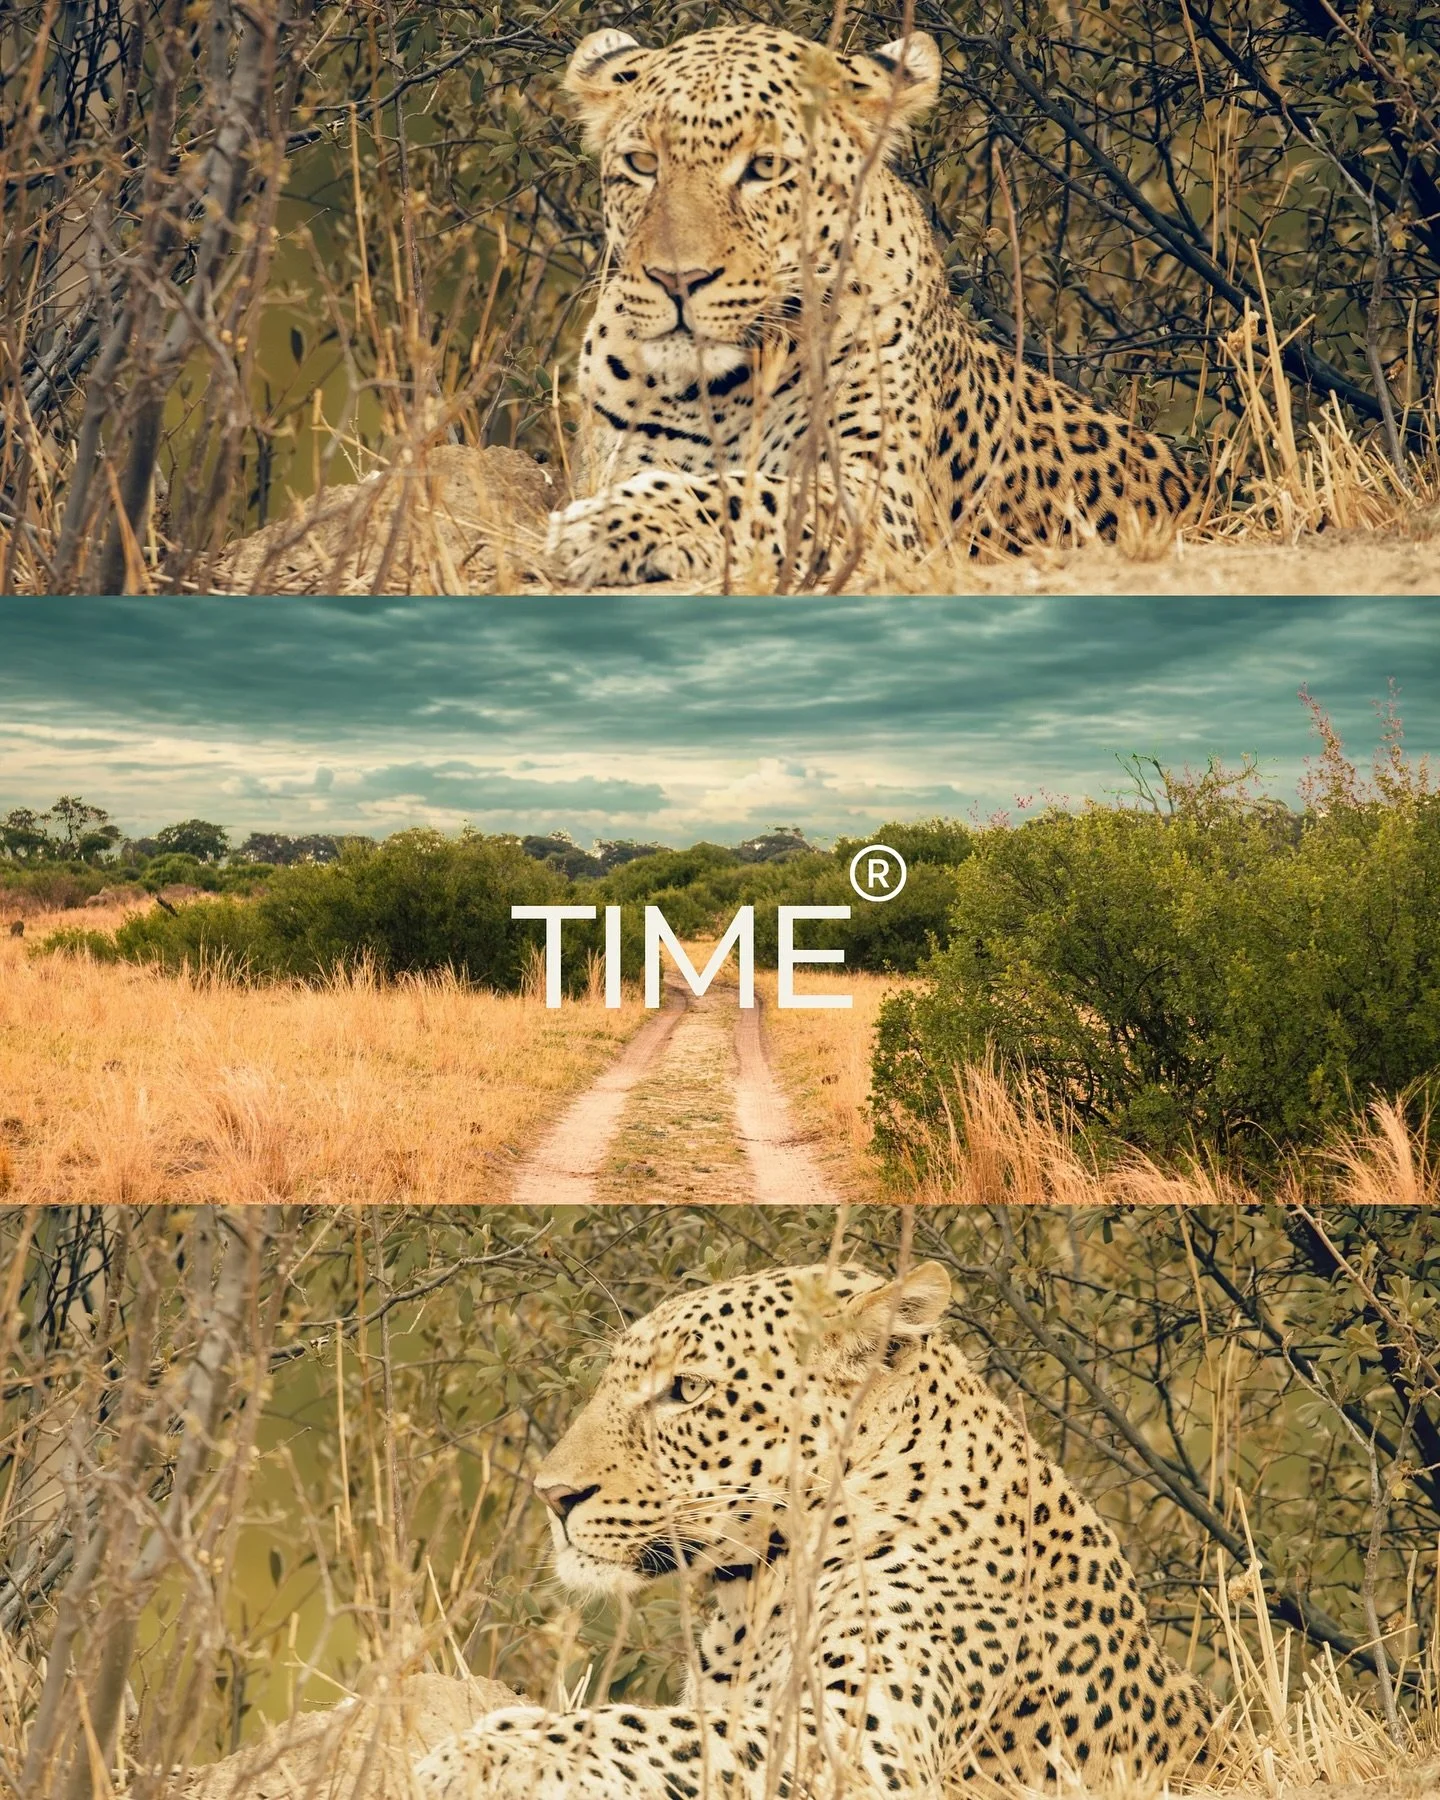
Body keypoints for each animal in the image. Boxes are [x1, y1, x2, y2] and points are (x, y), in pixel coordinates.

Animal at [415, 1261, 1217, 1800]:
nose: (553, 1495)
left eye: (687, 1390)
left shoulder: (862, 1744)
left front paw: (478, 1753)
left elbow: (645, 1728)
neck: (753, 1600)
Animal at [543, 24, 1197, 591]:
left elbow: (753, 495)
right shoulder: (615, 455)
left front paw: (609, 527)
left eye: (765, 168)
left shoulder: (878, 498)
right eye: (642, 164)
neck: (723, 389)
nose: (676, 279)